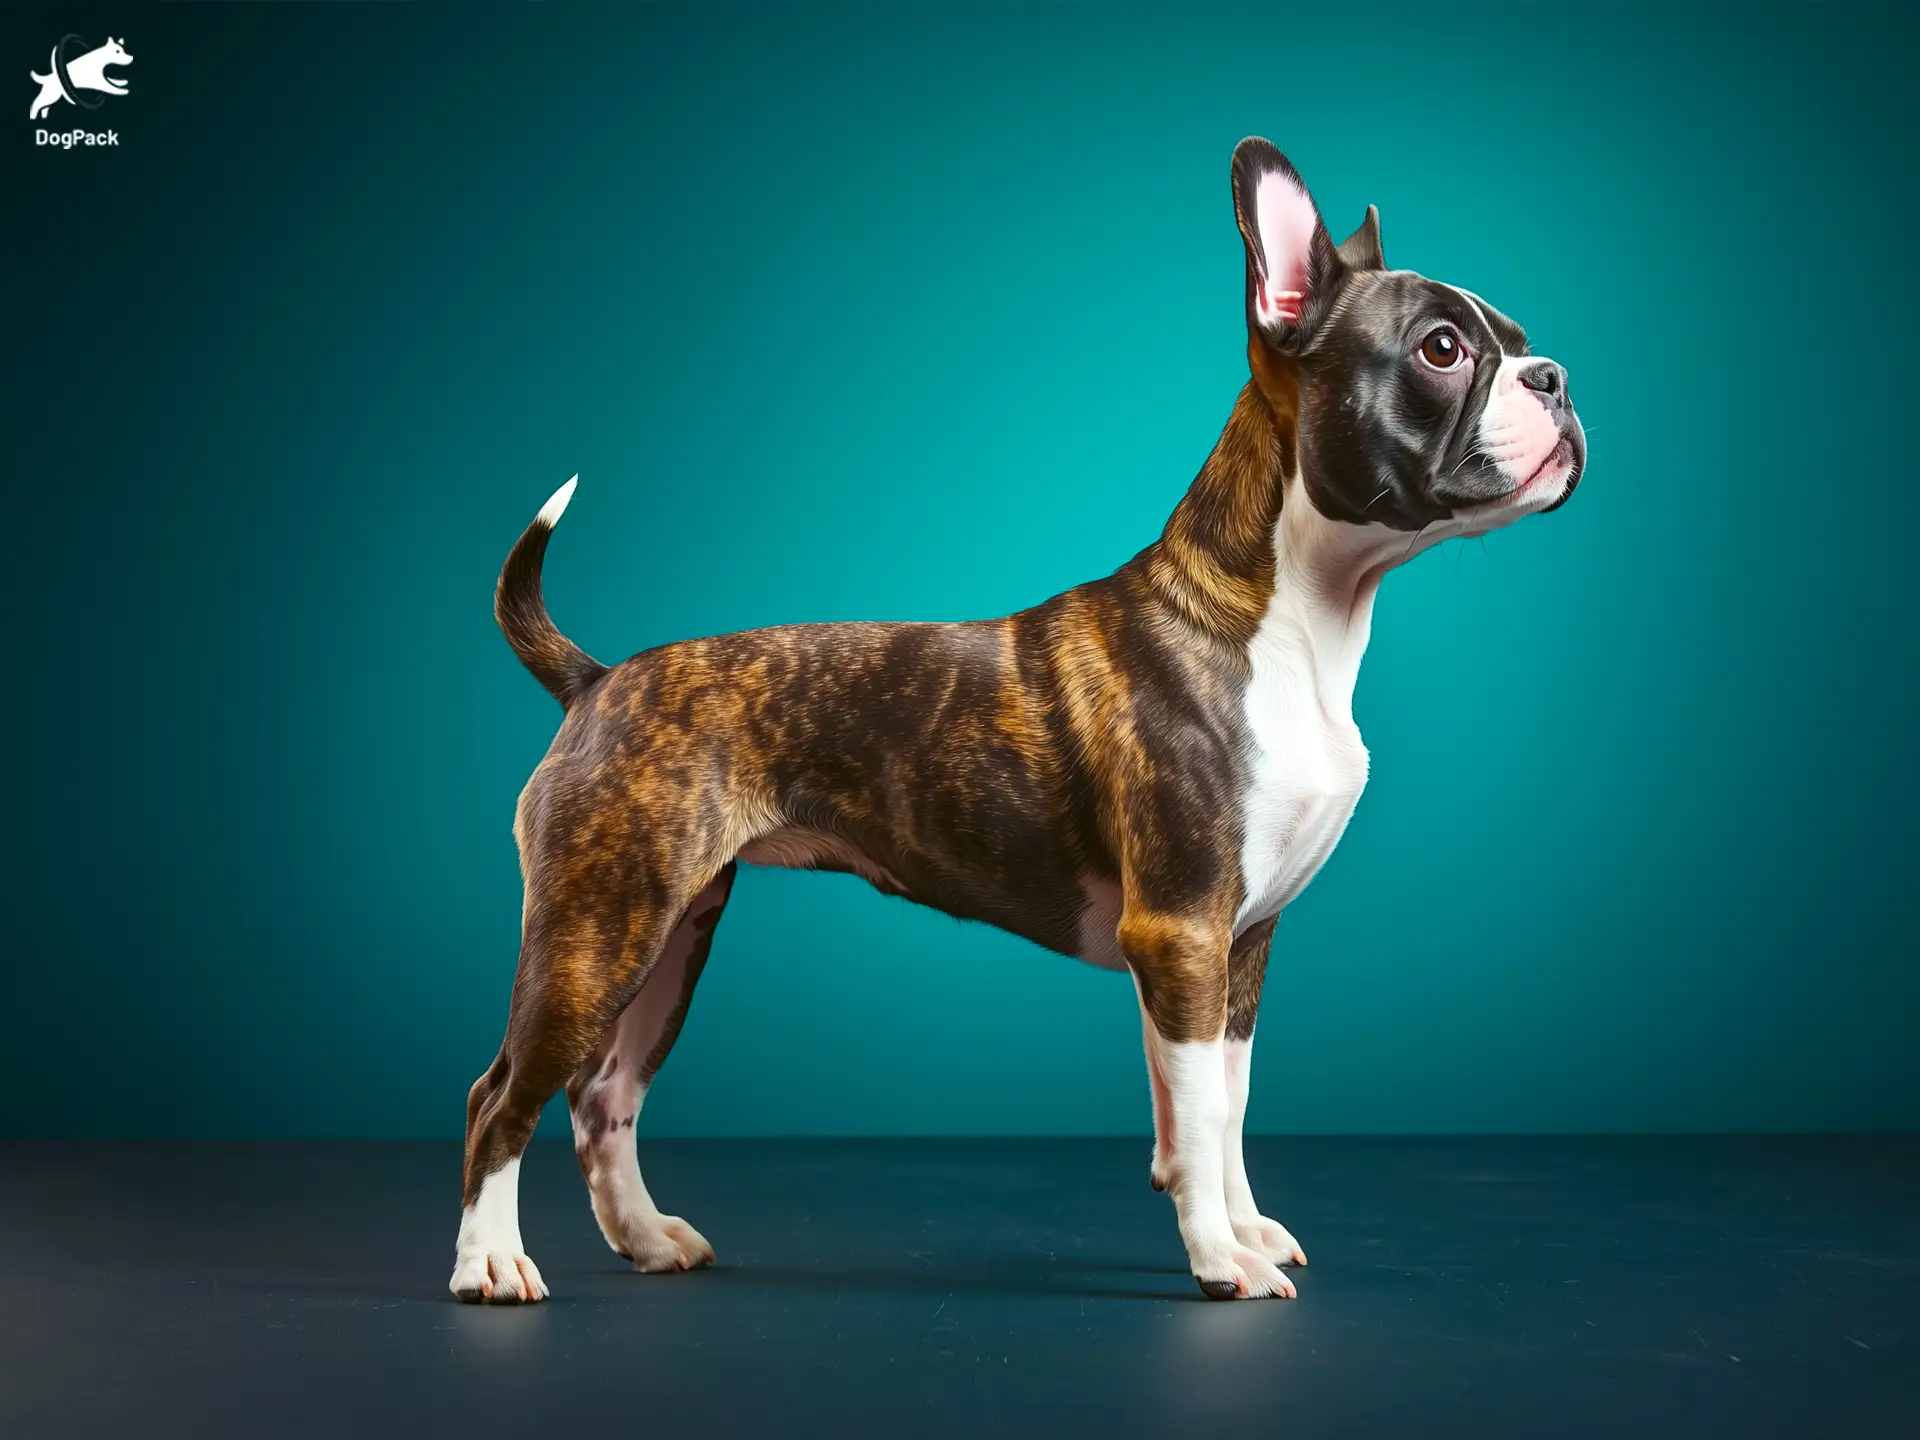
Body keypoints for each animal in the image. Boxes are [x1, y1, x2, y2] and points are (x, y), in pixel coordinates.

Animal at [453, 138, 1589, 1305]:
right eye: (1444, 350)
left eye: (1521, 346)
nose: (1556, 378)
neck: (1306, 618)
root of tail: (596, 682)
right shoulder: (1181, 929)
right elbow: (1199, 1122)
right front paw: (1218, 1259)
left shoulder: (1237, 949)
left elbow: (1223, 1112)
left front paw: (1245, 1230)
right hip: (601, 929)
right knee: (503, 1097)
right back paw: (491, 1262)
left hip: (674, 930)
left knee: (604, 1094)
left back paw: (646, 1238)